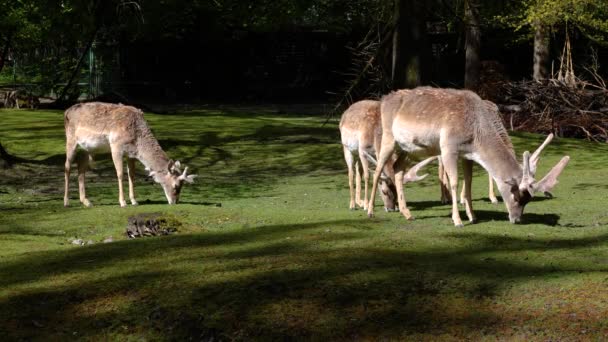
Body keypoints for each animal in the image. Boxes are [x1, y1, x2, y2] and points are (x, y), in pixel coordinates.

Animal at [62, 101, 195, 207]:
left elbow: (131, 175)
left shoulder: (131, 155)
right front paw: (123, 202)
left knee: (81, 167)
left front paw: (134, 201)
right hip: (71, 140)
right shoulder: (116, 147)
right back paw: (66, 201)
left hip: (89, 149)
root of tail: (66, 112)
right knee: (67, 166)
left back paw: (86, 201)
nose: (175, 202)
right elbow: (120, 174)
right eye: (176, 186)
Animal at [366, 87, 568, 227]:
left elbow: (469, 182)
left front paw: (473, 217)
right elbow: (455, 181)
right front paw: (458, 220)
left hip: (407, 149)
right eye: (517, 196)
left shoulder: (467, 155)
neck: (476, 133)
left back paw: (407, 213)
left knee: (398, 169)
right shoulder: (449, 147)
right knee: (377, 170)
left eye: (528, 200)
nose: (517, 219)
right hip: (388, 138)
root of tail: (384, 99)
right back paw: (369, 211)